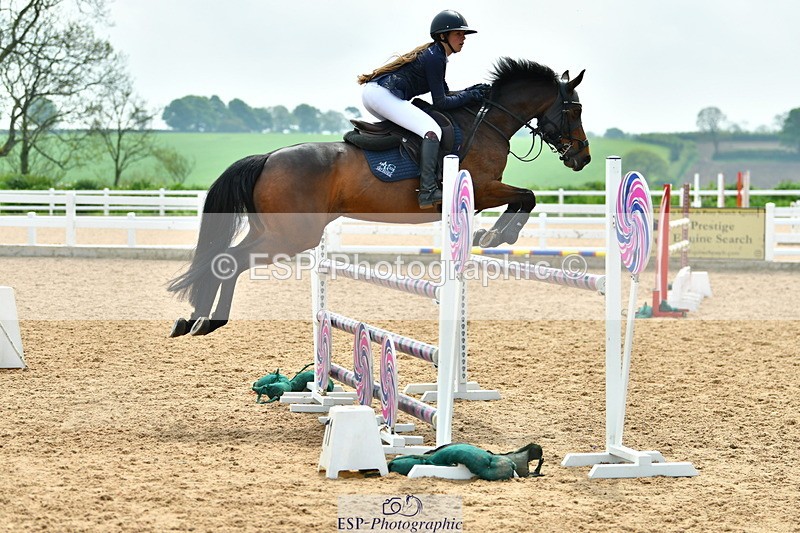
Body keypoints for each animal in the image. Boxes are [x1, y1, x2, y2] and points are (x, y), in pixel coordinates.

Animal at [168, 57, 591, 337]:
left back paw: (193, 320)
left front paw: (492, 235)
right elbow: (527, 196)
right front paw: (499, 235)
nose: (583, 158)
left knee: (222, 259)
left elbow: (522, 198)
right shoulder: (484, 188)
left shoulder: (485, 192)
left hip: (272, 231)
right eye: (575, 109)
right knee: (230, 261)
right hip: (291, 236)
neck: (487, 123)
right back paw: (207, 322)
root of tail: (267, 157)